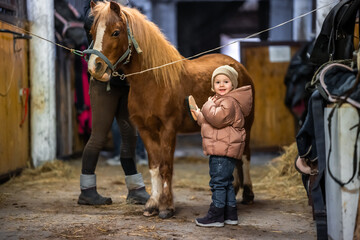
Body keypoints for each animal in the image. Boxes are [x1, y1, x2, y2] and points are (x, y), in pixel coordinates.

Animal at [86, 1, 255, 219]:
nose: (94, 68)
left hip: (246, 126)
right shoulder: (145, 130)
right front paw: (152, 205)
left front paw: (166, 207)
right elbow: (154, 167)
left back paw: (248, 194)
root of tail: (238, 67)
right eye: (91, 32)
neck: (154, 82)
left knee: (245, 155)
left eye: (115, 32)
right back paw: (233, 190)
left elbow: (166, 166)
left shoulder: (168, 129)